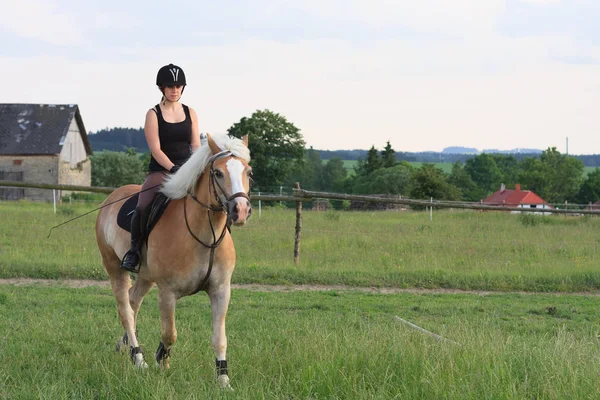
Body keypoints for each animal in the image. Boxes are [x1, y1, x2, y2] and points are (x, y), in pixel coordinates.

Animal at [94, 133, 253, 390]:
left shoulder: (221, 291)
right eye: (218, 173)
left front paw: (223, 380)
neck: (205, 235)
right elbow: (170, 333)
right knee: (125, 310)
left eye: (248, 172)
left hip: (145, 277)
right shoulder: (167, 293)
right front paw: (162, 361)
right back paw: (138, 358)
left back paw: (124, 346)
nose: (240, 210)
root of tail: (112, 197)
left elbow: (219, 338)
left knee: (133, 301)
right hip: (114, 268)